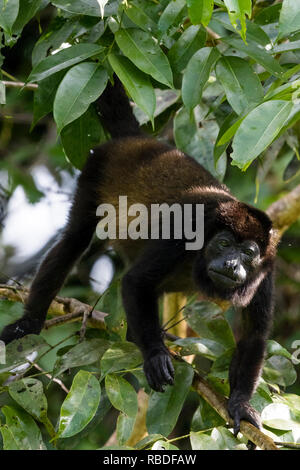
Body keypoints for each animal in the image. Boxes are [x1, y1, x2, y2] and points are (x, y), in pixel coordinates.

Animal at [0, 77, 276, 434]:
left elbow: (254, 334)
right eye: (225, 244)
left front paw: (241, 403)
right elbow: (135, 282)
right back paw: (30, 323)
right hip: (97, 165)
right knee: (75, 238)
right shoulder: (181, 235)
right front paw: (156, 355)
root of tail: (140, 139)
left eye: (248, 252)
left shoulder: (266, 273)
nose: (231, 264)